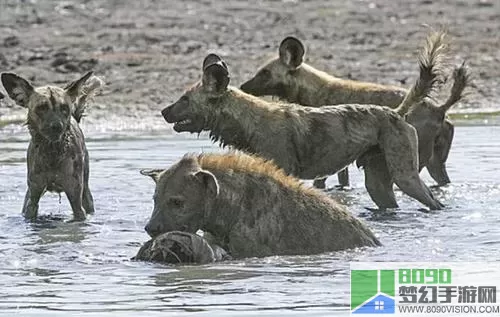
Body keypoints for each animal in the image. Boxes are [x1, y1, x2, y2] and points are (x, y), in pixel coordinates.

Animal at [0, 71, 102, 220]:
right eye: (41, 108)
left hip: (85, 194)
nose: (57, 126)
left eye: (64, 108)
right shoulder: (33, 200)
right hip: (29, 196)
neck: (52, 153)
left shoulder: (77, 204)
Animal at [161, 35, 446, 210]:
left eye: (185, 99)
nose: (163, 111)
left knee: (433, 201)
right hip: (379, 185)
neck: (247, 121)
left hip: (406, 178)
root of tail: (396, 112)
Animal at [240, 33, 466, 189]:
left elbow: (321, 182)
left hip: (412, 158)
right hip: (435, 162)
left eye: (265, 73)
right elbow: (342, 181)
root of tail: (439, 108)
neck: (314, 90)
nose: (242, 86)